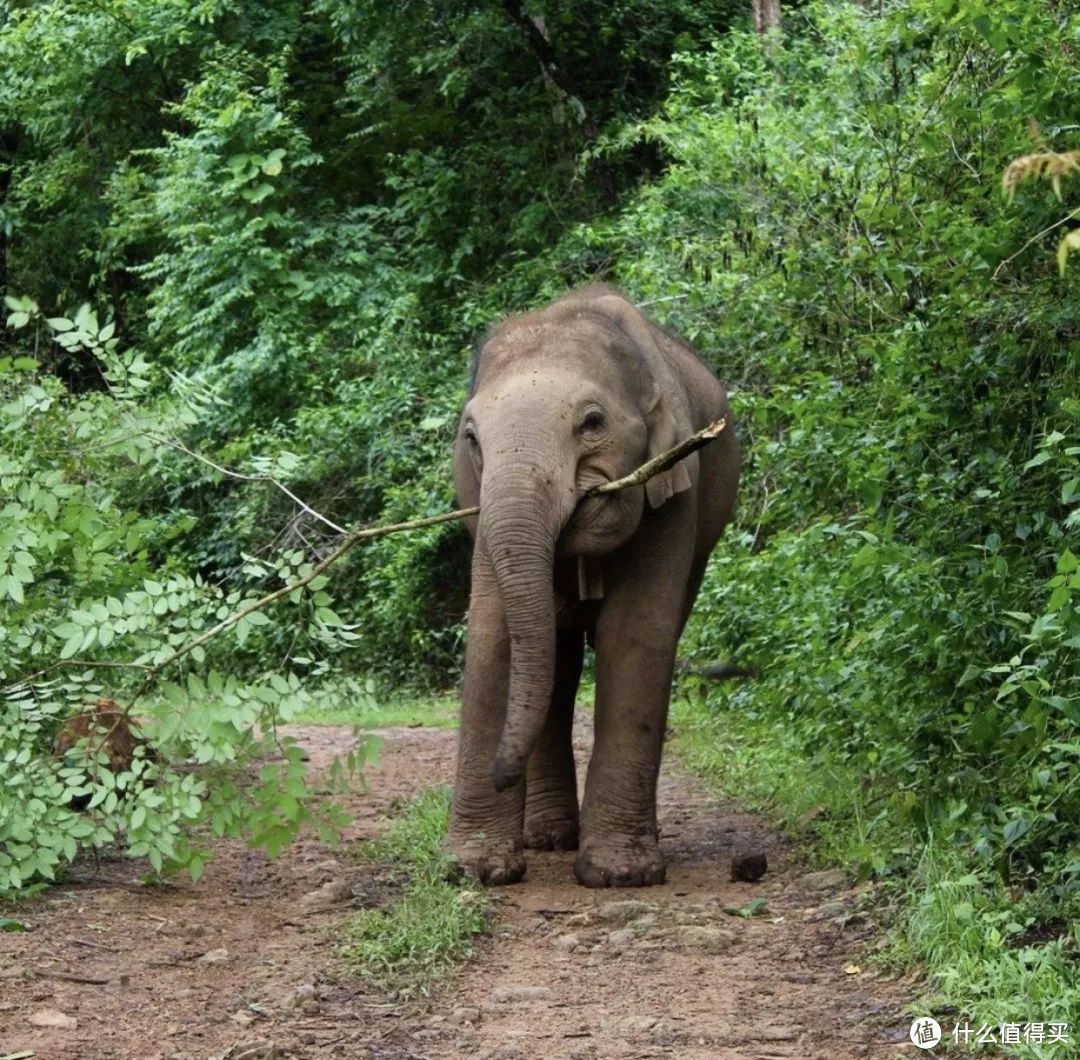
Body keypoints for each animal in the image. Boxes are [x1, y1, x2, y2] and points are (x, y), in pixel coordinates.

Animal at [449, 280, 743, 886]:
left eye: (591, 423)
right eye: (471, 438)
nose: (500, 775)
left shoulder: (674, 486)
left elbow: (635, 635)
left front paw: (620, 875)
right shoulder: (481, 505)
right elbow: (496, 635)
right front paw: (477, 871)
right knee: (557, 660)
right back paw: (547, 839)